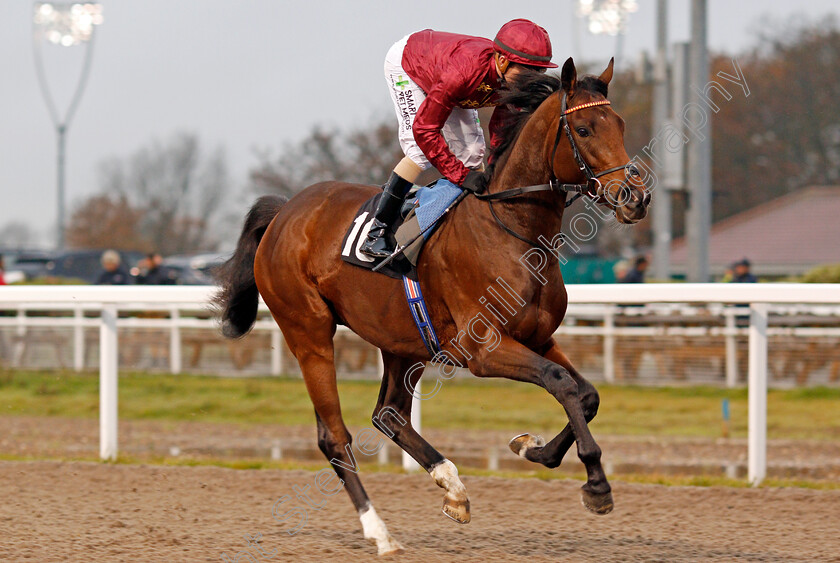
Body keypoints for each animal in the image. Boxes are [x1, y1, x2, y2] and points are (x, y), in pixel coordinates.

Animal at [215, 58, 648, 556]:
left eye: (620, 124)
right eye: (583, 128)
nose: (636, 197)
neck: (511, 229)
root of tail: (285, 212)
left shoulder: (539, 337)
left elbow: (585, 393)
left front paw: (530, 447)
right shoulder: (485, 350)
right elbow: (561, 383)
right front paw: (596, 484)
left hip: (402, 341)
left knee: (389, 414)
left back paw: (452, 487)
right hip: (308, 333)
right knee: (334, 437)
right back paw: (380, 533)